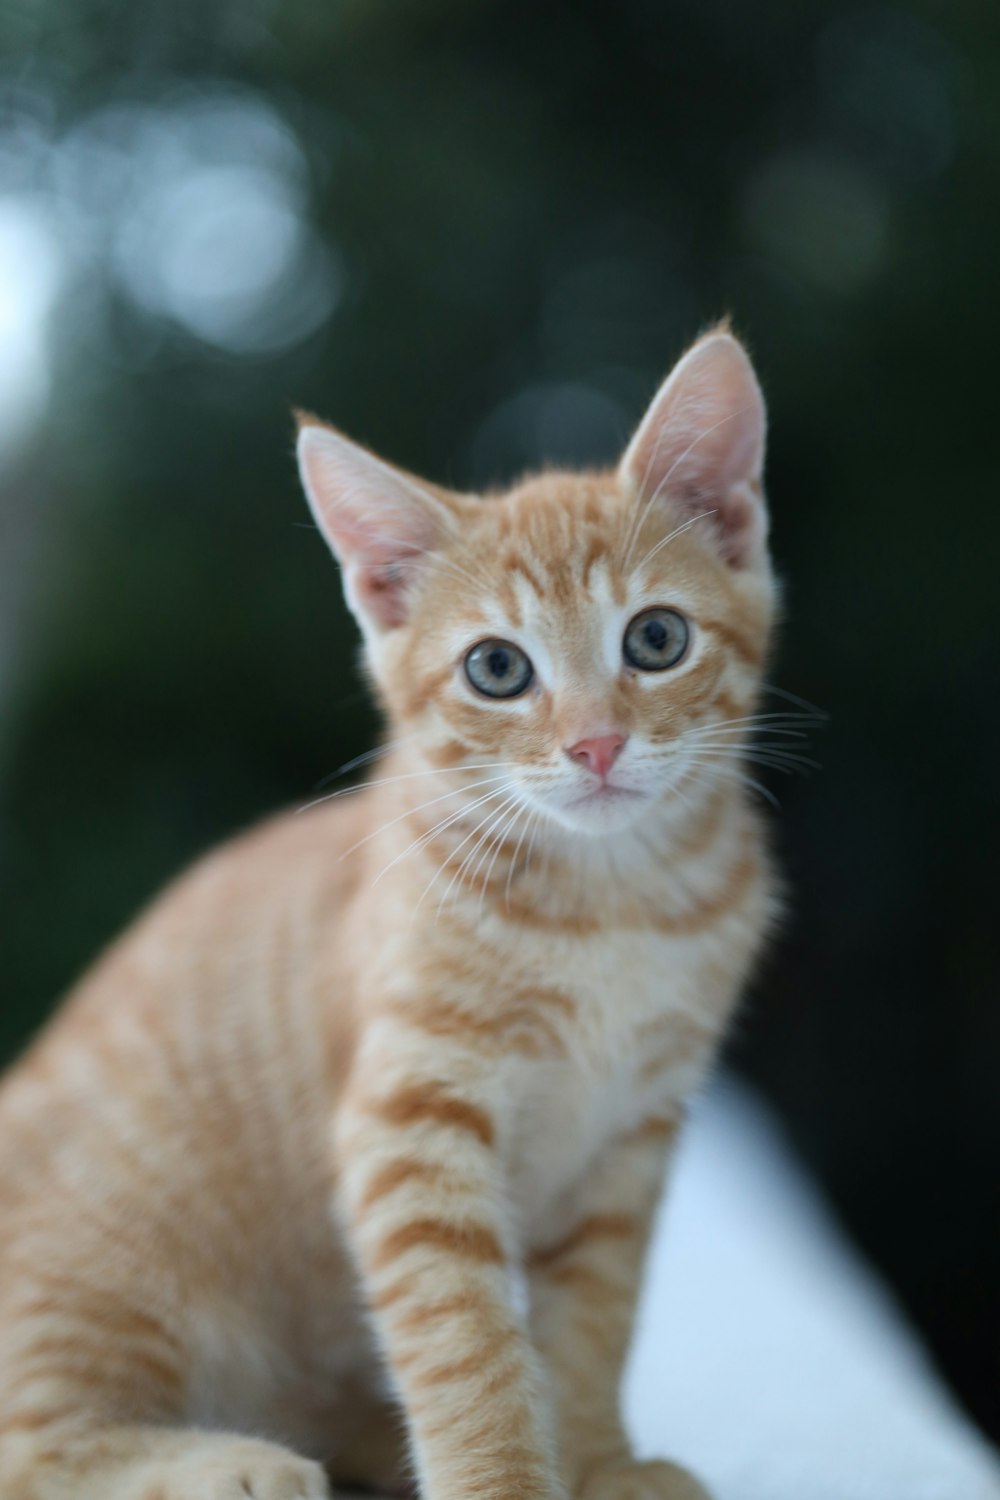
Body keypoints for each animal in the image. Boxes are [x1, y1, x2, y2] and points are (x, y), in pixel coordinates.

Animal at [0, 328, 779, 1500]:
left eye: (655, 639)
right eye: (497, 668)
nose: (596, 745)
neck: (610, 902)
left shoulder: (631, 1136)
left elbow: (594, 1319)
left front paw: (596, 1459)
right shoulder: (408, 1118)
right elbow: (464, 1341)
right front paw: (506, 1479)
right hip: (112, 1277)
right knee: (31, 1441)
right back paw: (237, 1462)